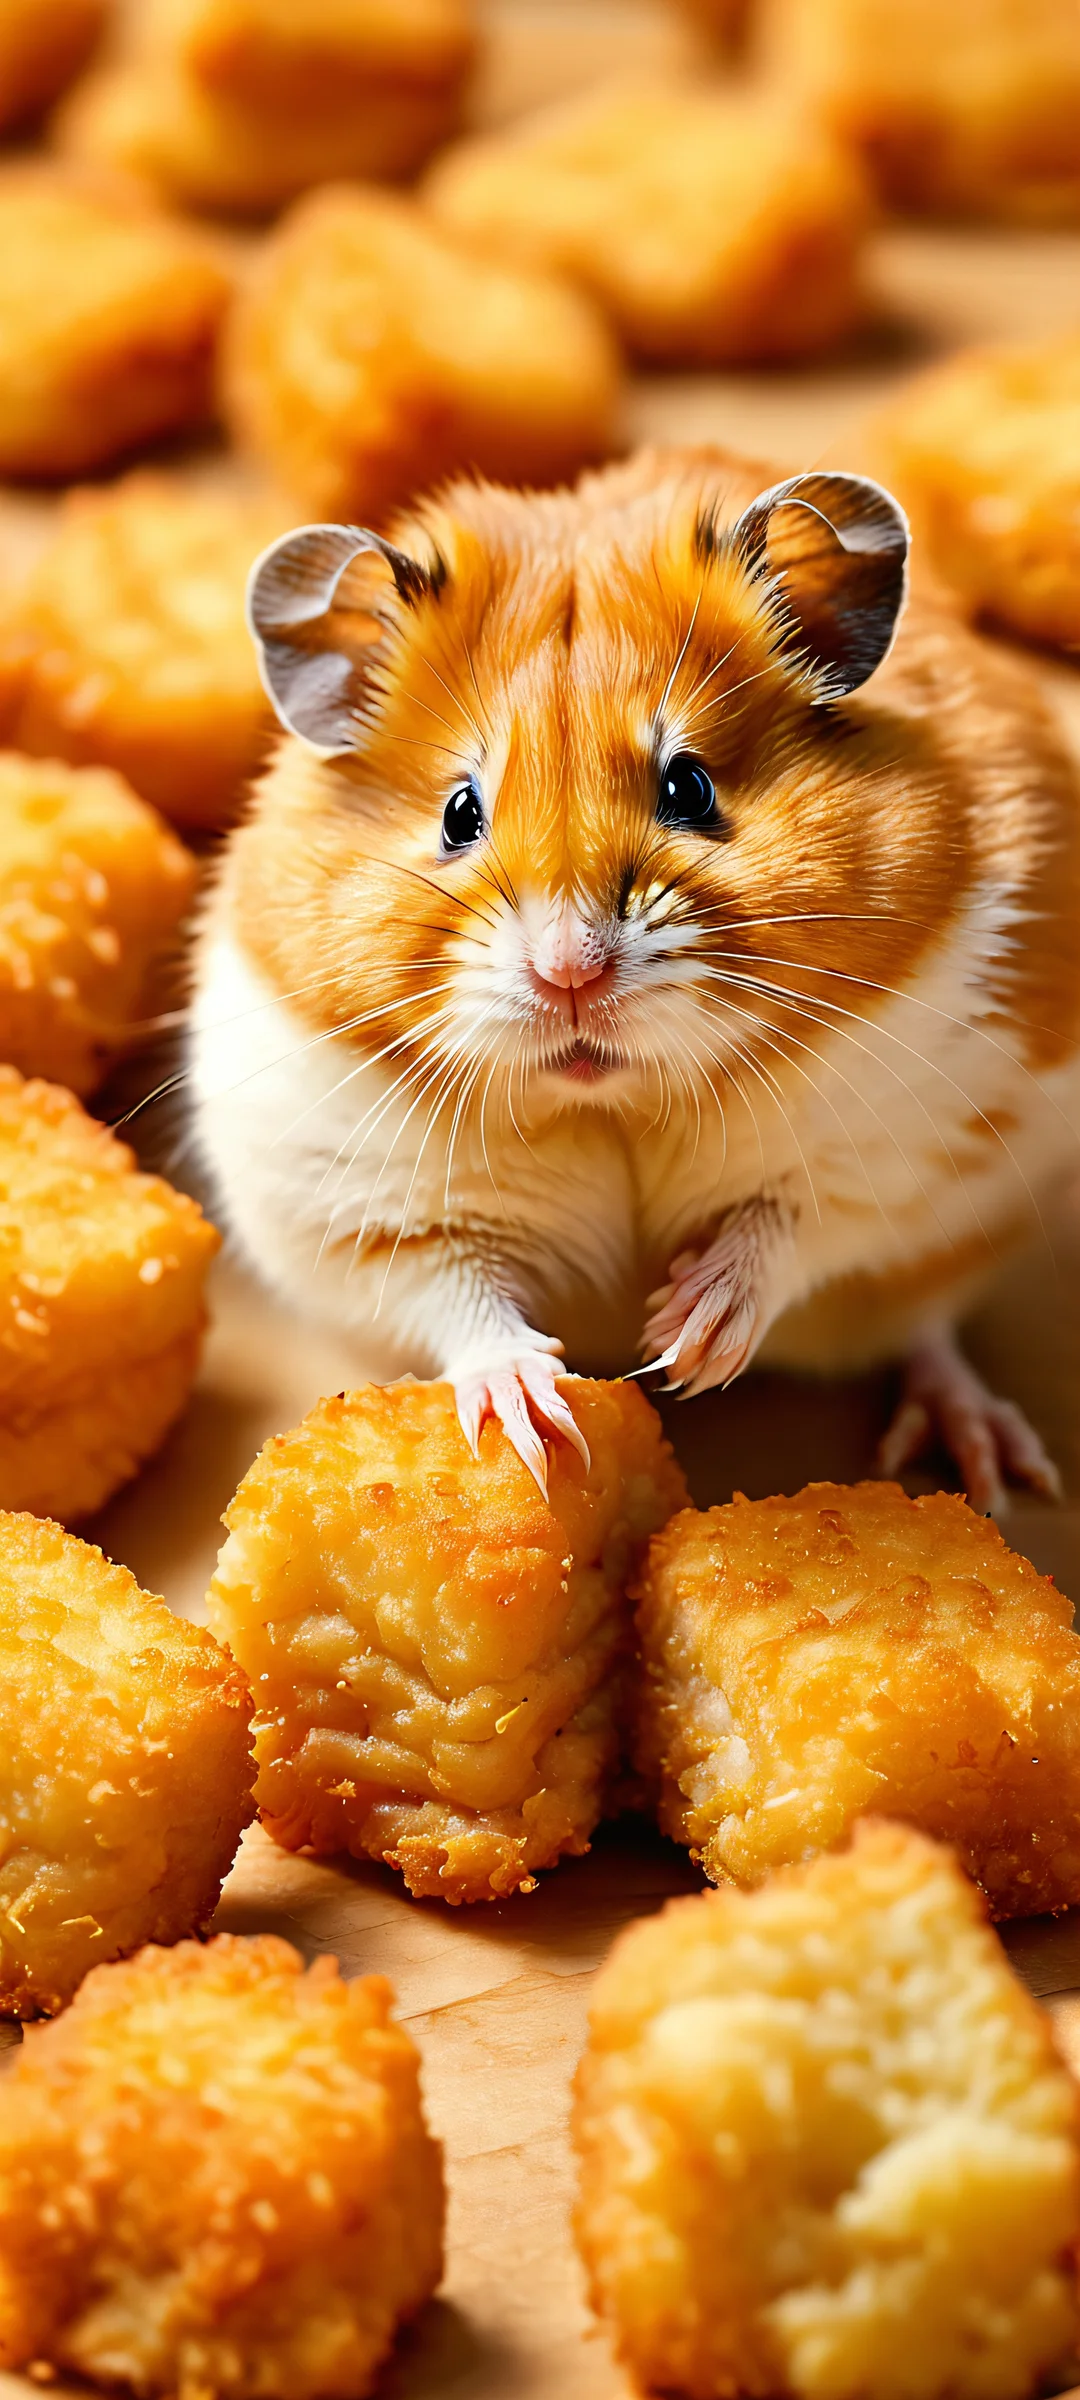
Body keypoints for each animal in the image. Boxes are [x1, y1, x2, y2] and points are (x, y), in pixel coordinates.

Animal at [190, 445, 1080, 1510]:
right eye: (459, 813)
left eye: (689, 787)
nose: (569, 974)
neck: (611, 1099)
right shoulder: (358, 1208)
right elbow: (457, 1296)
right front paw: (543, 1428)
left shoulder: (910, 1151)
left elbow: (793, 1223)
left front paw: (682, 1343)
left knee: (925, 1330)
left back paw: (998, 1466)